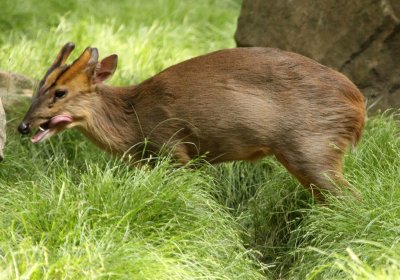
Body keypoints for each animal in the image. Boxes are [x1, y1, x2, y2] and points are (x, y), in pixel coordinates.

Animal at [18, 42, 366, 201]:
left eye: (60, 92)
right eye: (39, 86)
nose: (23, 126)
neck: (132, 120)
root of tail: (358, 106)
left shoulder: (172, 148)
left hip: (314, 146)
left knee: (350, 198)